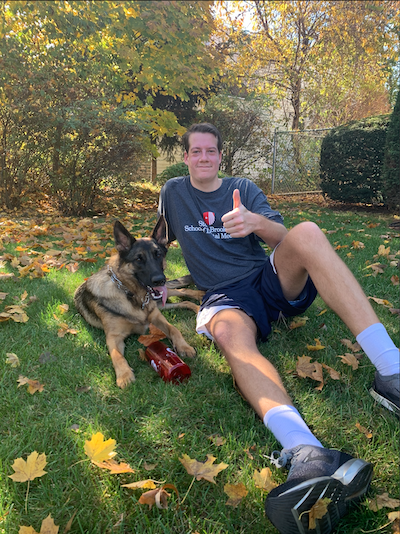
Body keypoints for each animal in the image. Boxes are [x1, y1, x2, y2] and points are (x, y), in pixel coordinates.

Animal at [73, 217, 202, 390]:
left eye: (158, 255)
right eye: (138, 259)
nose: (160, 280)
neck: (133, 295)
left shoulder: (157, 318)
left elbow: (174, 329)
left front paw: (184, 346)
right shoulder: (113, 337)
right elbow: (116, 355)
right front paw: (124, 376)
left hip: (163, 299)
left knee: (183, 293)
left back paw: (200, 298)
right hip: (161, 303)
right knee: (183, 301)